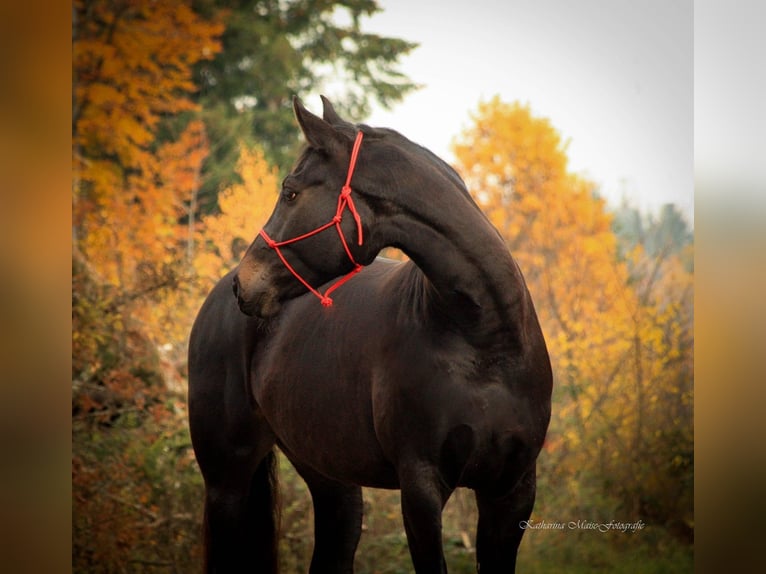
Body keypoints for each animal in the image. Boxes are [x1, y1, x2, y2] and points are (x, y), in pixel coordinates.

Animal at [188, 95, 553, 573]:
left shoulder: (511, 492)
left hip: (331, 480)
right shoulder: (421, 487)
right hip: (226, 482)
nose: (244, 284)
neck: (484, 343)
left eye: (290, 192)